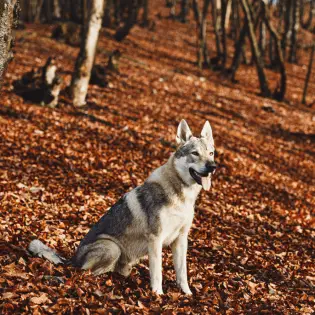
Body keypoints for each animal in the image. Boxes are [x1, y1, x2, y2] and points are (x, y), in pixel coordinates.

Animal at [28, 119, 216, 296]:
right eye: (195, 153)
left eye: (211, 153)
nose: (213, 166)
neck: (182, 195)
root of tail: (72, 259)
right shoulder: (156, 239)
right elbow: (158, 273)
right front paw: (158, 295)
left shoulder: (181, 239)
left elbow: (182, 273)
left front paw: (186, 293)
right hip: (112, 247)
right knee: (86, 272)